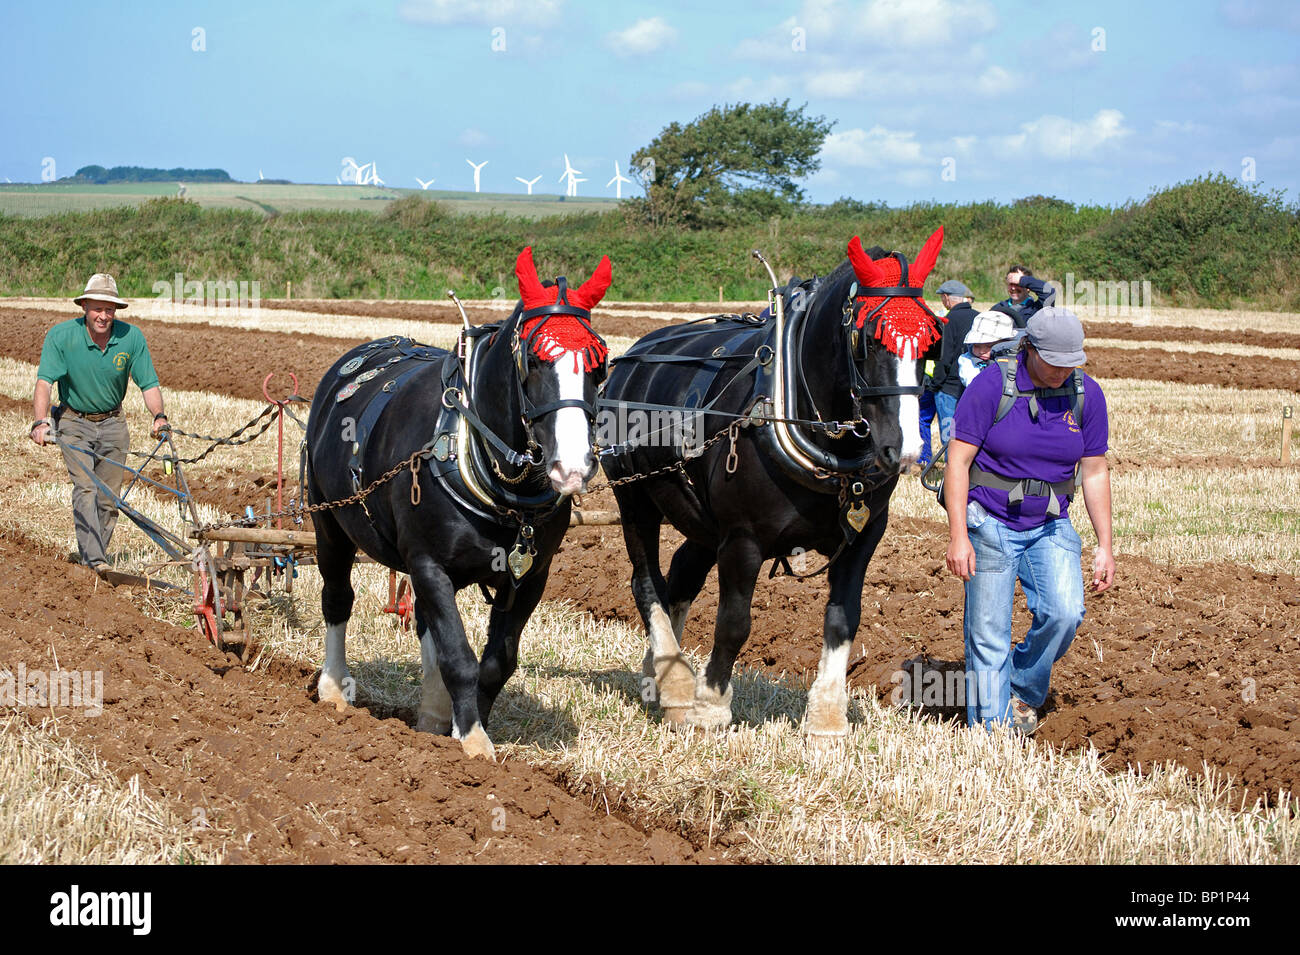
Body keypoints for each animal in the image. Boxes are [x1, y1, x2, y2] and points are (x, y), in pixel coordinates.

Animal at [305, 247, 612, 760]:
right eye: (534, 359)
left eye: (600, 364)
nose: (573, 466)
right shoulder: (429, 563)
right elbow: (459, 657)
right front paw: (473, 743)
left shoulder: (531, 576)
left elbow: (495, 662)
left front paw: (462, 728)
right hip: (328, 523)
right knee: (338, 597)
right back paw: (333, 687)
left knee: (425, 625)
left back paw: (430, 715)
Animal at [600, 228, 945, 738]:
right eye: (866, 339)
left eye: (932, 340)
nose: (902, 451)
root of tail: (630, 358)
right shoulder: (743, 539)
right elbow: (734, 623)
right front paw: (711, 706)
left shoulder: (863, 538)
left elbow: (844, 619)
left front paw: (826, 719)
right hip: (634, 497)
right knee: (648, 584)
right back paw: (678, 686)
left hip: (703, 520)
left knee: (681, 574)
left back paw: (661, 675)